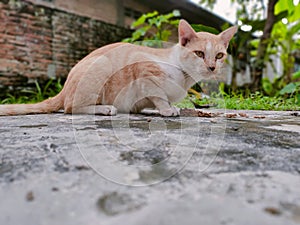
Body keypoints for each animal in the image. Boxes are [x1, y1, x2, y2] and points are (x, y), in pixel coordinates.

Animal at [0, 19, 237, 116]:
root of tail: (65, 87)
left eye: (219, 55)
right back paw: (104, 109)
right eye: (199, 54)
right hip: (101, 67)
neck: (185, 77)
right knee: (70, 107)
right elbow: (159, 95)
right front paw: (166, 109)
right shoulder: (142, 68)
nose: (212, 67)